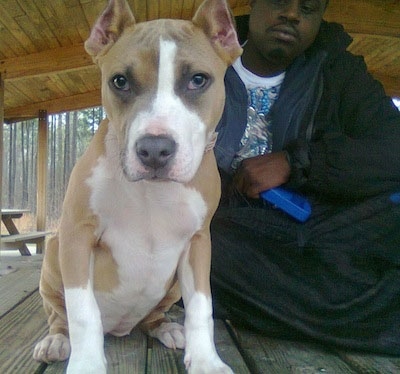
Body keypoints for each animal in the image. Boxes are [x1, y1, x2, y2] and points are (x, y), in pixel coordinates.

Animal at [32, 0, 241, 372]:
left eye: (198, 80)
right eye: (120, 81)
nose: (155, 149)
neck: (153, 192)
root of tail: (120, 328)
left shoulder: (199, 242)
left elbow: (202, 307)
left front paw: (207, 361)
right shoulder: (76, 234)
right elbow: (82, 311)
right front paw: (87, 364)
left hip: (172, 287)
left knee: (154, 316)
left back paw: (167, 327)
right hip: (54, 256)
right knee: (59, 315)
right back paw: (56, 340)